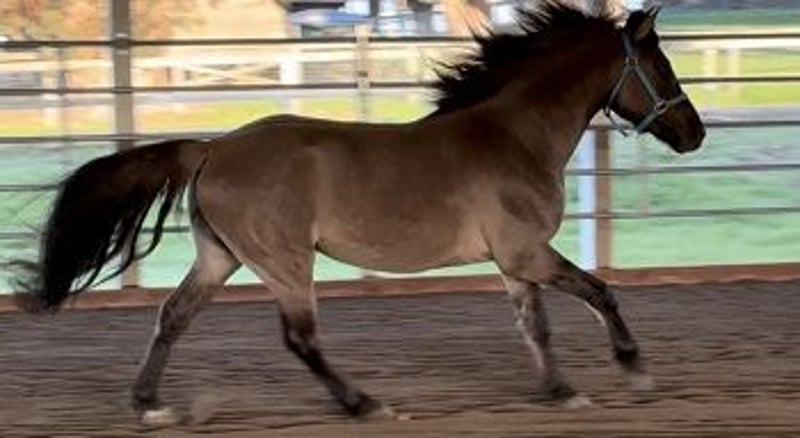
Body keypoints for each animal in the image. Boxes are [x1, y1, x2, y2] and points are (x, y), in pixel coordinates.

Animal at [11, 3, 705, 426]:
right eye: (662, 65)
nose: (694, 133)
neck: (514, 133)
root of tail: (211, 148)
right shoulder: (528, 252)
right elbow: (600, 291)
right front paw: (635, 371)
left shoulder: (514, 262)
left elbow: (536, 327)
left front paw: (561, 391)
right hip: (287, 263)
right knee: (301, 338)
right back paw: (365, 404)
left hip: (220, 256)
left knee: (173, 317)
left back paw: (150, 405)